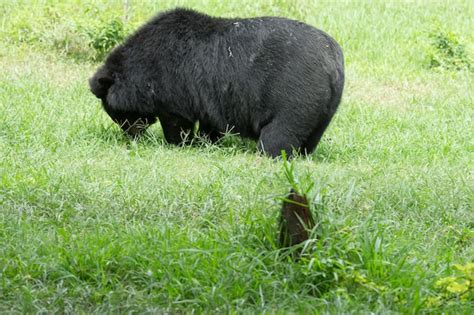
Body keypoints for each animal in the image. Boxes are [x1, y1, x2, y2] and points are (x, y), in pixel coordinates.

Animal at [89, 8, 342, 158]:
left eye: (117, 114)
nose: (132, 136)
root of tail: (333, 62)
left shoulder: (172, 85)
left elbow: (177, 121)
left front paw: (180, 143)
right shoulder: (210, 96)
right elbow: (211, 122)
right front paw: (206, 142)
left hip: (294, 96)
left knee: (280, 131)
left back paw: (267, 154)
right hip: (324, 106)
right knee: (311, 136)